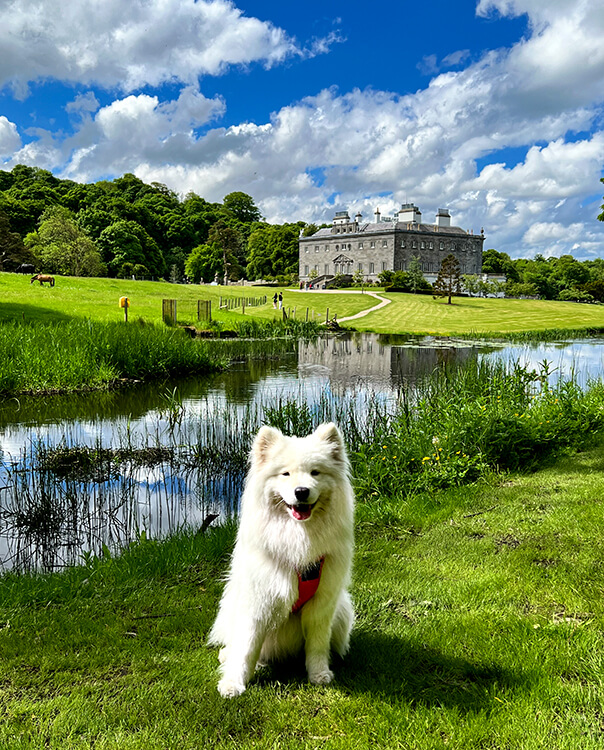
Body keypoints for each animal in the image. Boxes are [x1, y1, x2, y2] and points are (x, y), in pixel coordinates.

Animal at [208, 424, 354, 700]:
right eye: (285, 474)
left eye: (315, 472)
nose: (301, 491)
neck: (298, 537)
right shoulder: (257, 602)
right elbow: (245, 649)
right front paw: (233, 683)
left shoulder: (322, 604)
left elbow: (317, 644)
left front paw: (319, 673)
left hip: (342, 610)